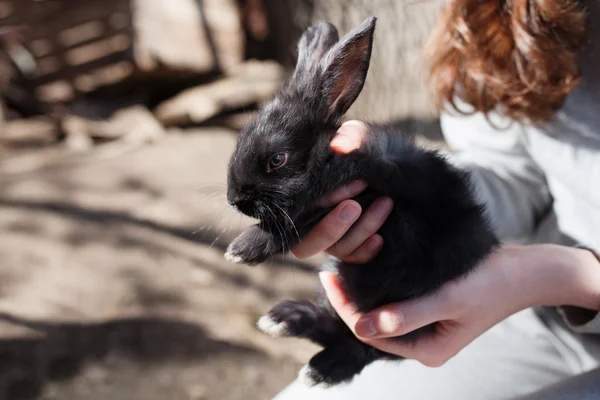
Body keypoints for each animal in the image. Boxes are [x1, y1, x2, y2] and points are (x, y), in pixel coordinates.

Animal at [225, 17, 496, 386]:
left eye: (277, 160)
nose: (234, 199)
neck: (326, 166)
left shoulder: (359, 195)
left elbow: (296, 222)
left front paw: (241, 248)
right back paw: (282, 319)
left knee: (366, 345)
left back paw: (319, 367)